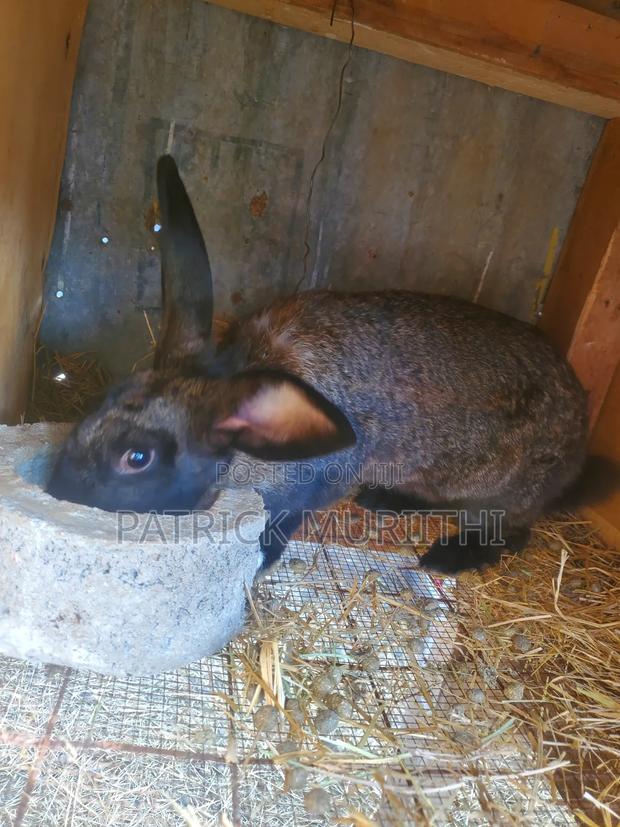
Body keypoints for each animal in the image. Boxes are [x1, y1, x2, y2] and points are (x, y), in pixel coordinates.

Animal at [47, 154, 590, 575]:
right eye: (101, 403)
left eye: (137, 458)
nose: (58, 490)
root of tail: (581, 426)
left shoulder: (308, 489)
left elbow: (278, 526)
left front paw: (258, 566)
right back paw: (384, 499)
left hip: (503, 490)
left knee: (510, 530)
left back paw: (446, 557)